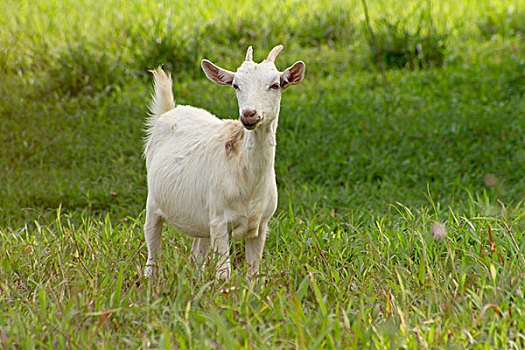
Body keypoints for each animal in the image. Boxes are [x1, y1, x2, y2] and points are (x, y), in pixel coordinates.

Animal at [144, 45, 308, 280]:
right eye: (236, 85)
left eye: (275, 84)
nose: (249, 114)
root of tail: (168, 112)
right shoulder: (220, 221)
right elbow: (224, 273)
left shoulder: (261, 225)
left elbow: (253, 272)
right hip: (153, 201)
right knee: (152, 245)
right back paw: (150, 278)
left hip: (202, 219)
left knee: (197, 254)